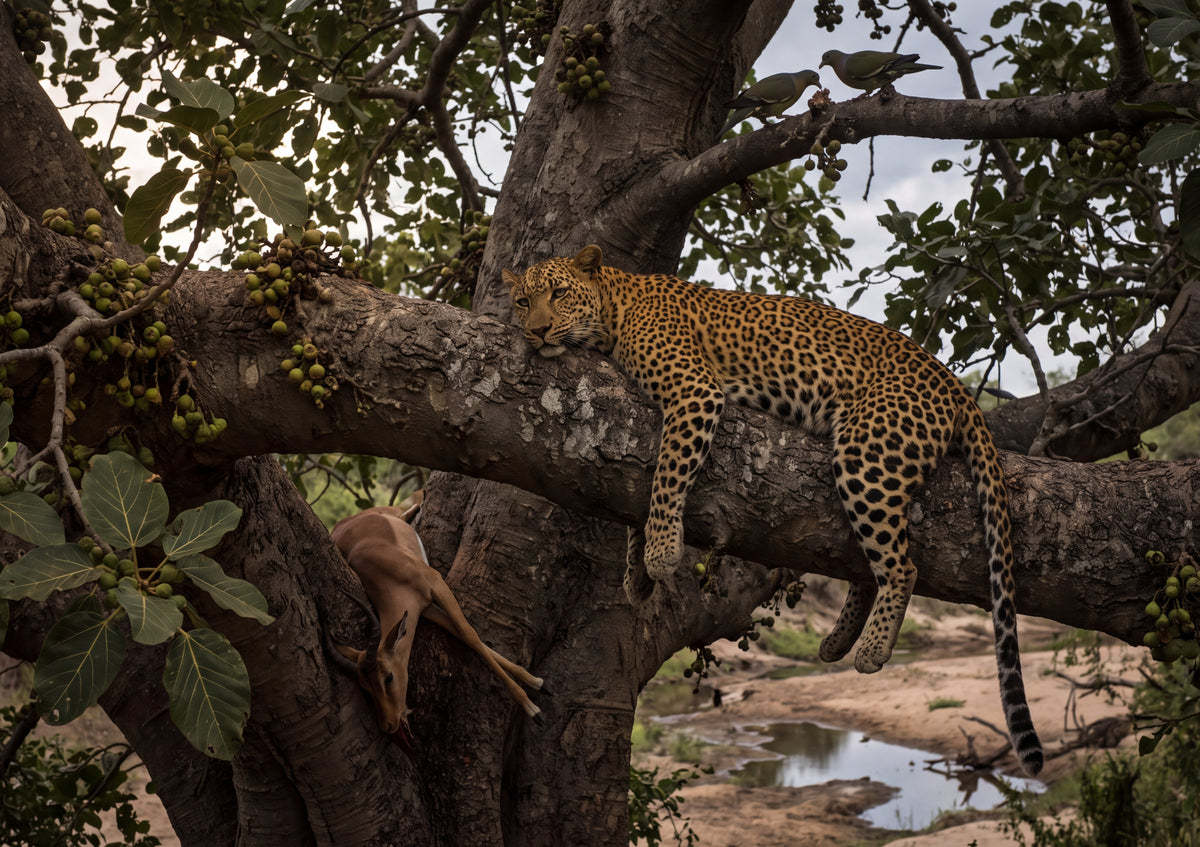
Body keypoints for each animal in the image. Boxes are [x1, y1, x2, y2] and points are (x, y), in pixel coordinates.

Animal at [502, 244, 1043, 775]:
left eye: (559, 294)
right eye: (523, 302)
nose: (537, 332)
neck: (615, 308)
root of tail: (953, 382)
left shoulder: (695, 392)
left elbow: (667, 475)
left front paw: (660, 552)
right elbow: (643, 485)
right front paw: (637, 576)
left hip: (867, 454)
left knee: (901, 566)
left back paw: (871, 648)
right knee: (868, 563)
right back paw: (837, 641)